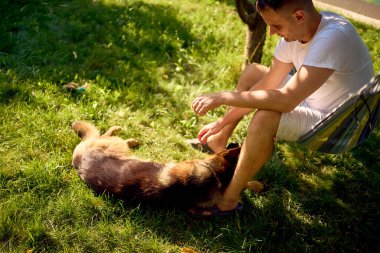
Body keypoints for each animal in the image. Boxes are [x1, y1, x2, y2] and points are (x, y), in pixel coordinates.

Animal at [71, 121, 240, 209]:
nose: (236, 143)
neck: (216, 175)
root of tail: (79, 159)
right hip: (114, 144)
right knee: (105, 134)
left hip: (115, 144)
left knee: (107, 135)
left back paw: (125, 135)